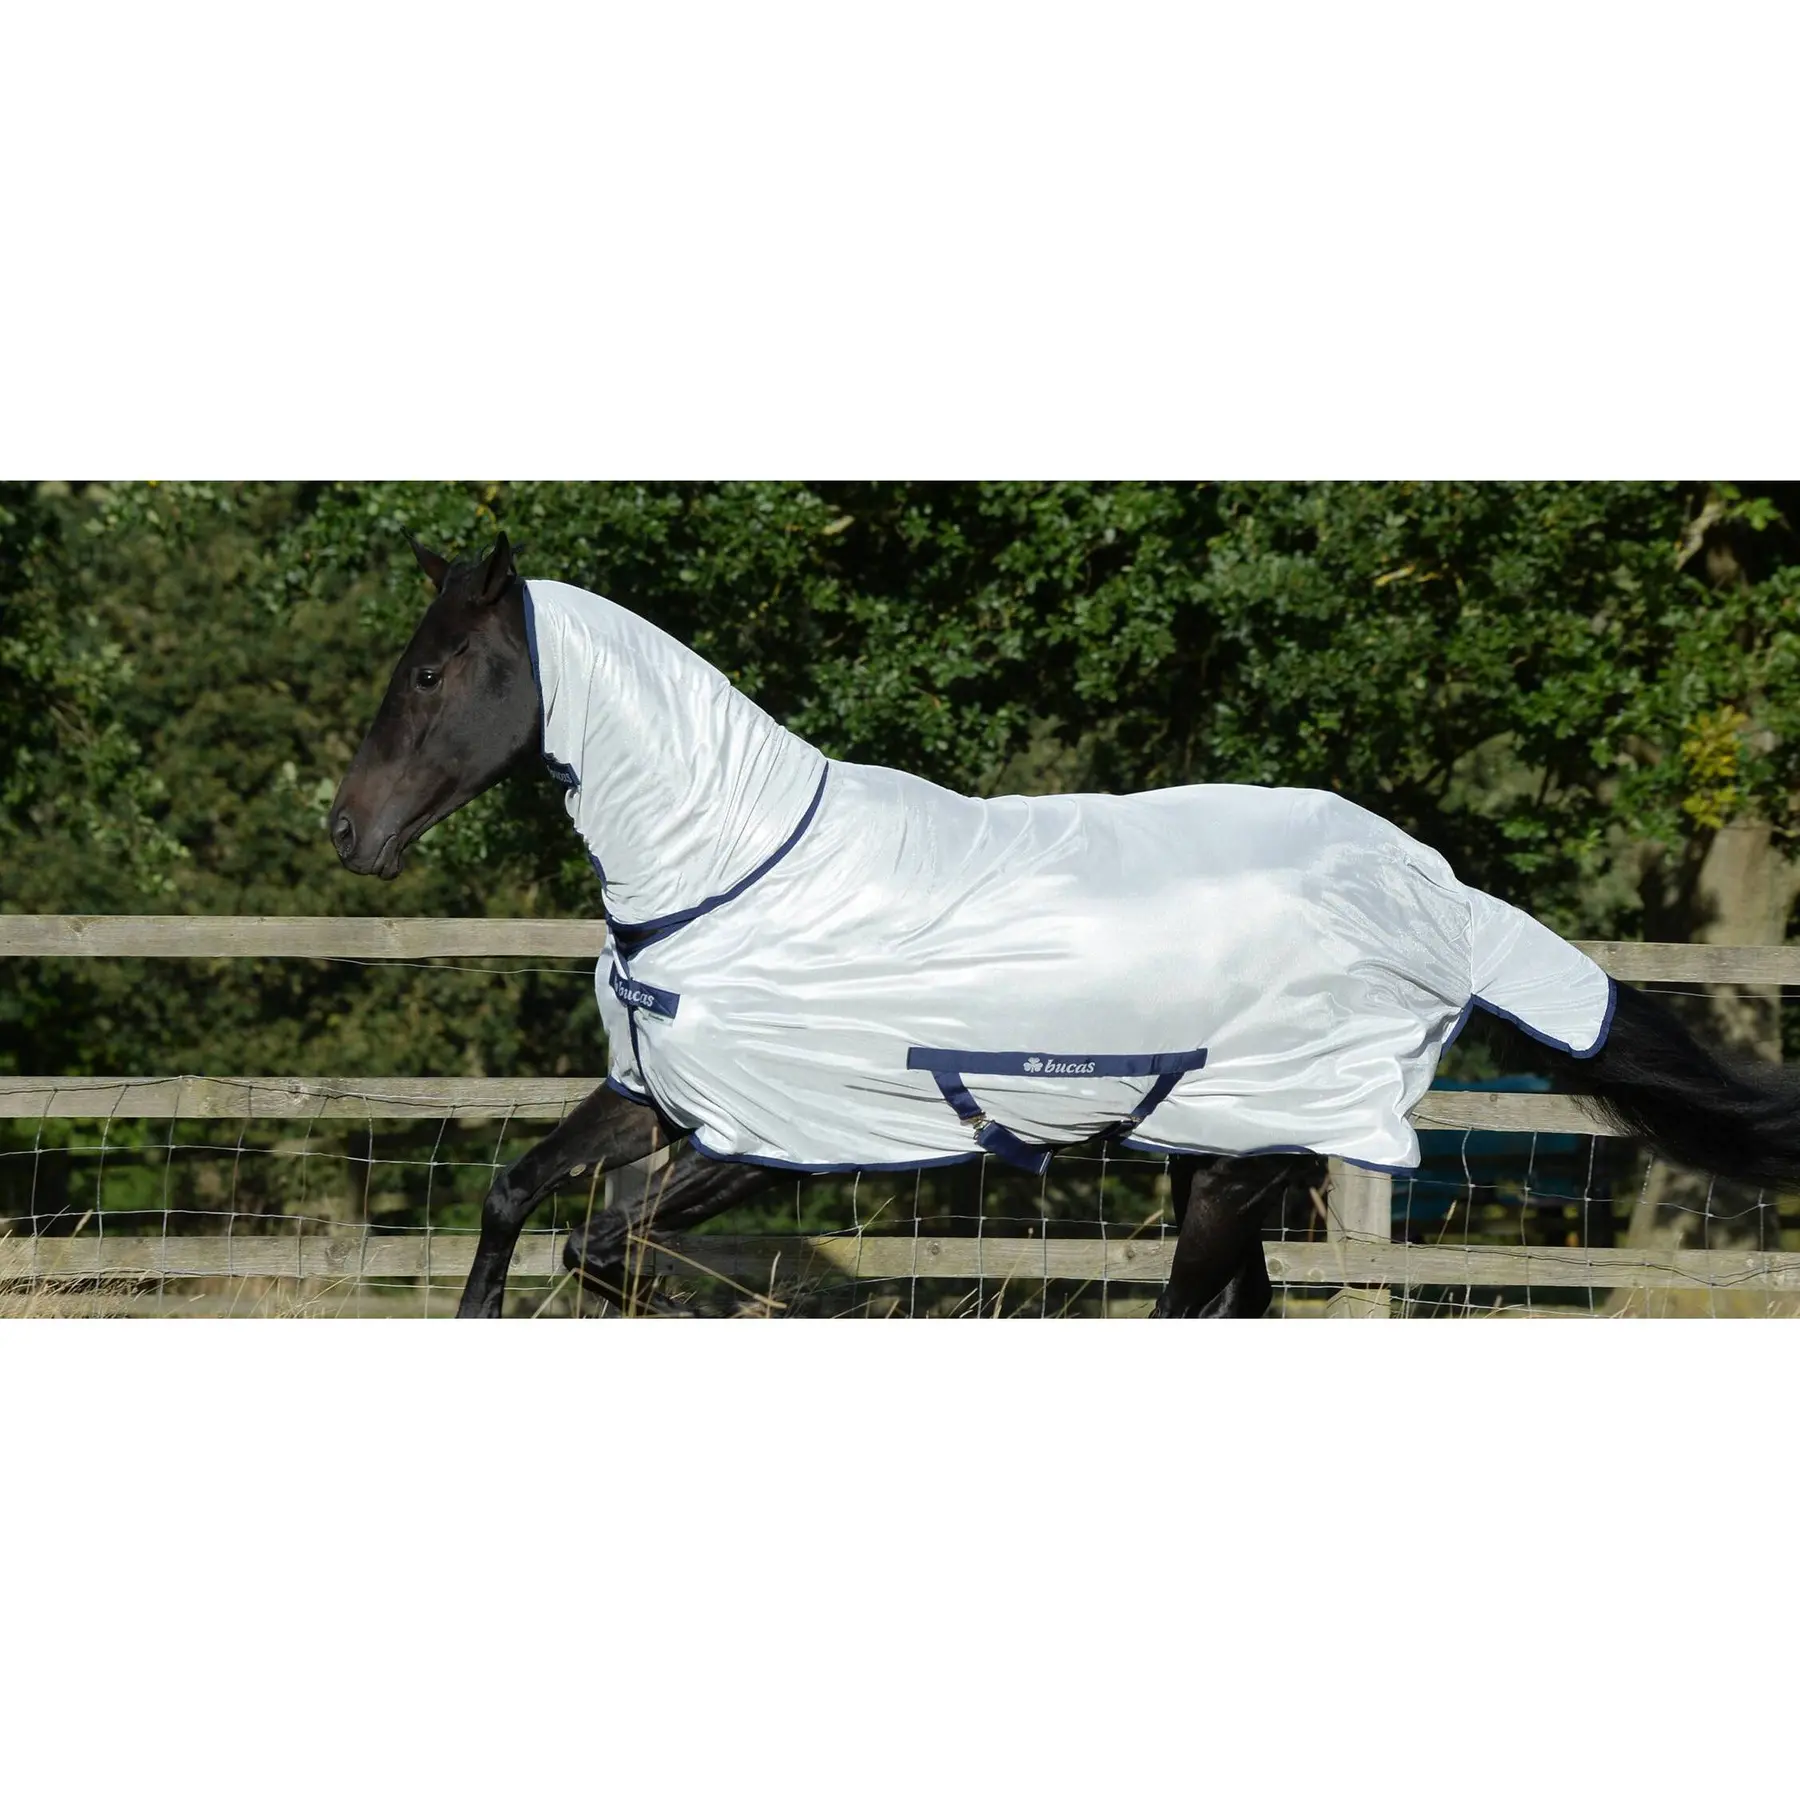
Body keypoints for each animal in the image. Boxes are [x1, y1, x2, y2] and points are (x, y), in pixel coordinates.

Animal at [330, 533, 1800, 1318]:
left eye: (433, 671)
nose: (347, 830)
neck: (735, 870)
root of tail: (1430, 891)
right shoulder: (660, 1097)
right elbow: (522, 1197)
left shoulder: (763, 1139)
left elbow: (605, 1244)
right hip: (1210, 1157)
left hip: (1241, 1161)